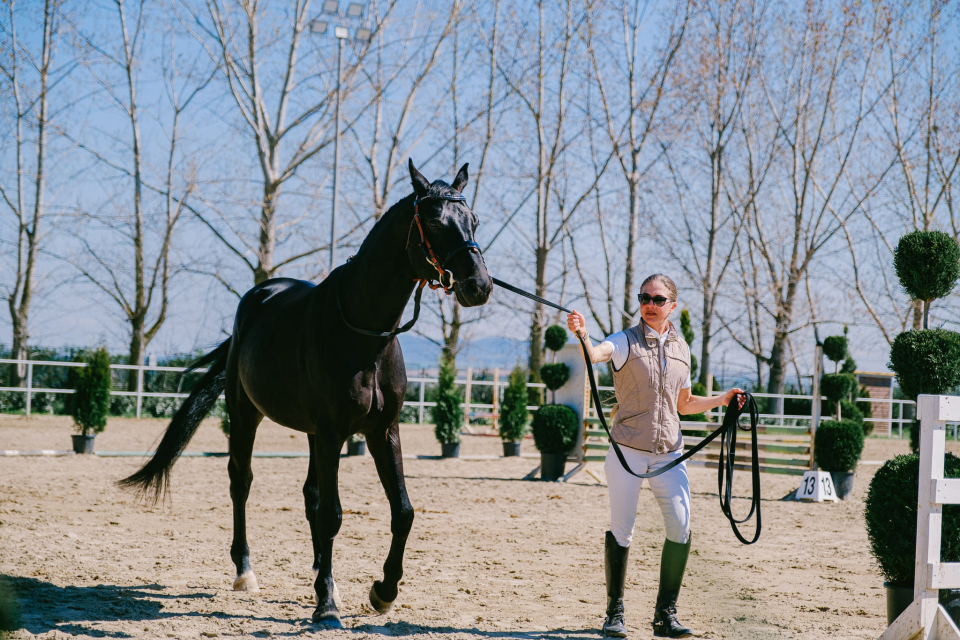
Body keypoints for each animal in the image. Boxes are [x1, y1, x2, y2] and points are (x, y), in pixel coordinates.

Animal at [119, 159, 492, 624]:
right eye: (436, 221)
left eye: (473, 219)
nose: (479, 285)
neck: (364, 334)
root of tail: (259, 296)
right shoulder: (333, 431)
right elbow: (332, 515)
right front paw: (327, 605)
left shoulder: (382, 431)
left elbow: (402, 511)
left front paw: (382, 591)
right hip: (246, 416)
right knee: (241, 482)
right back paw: (246, 572)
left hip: (314, 434)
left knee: (310, 494)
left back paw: (318, 570)